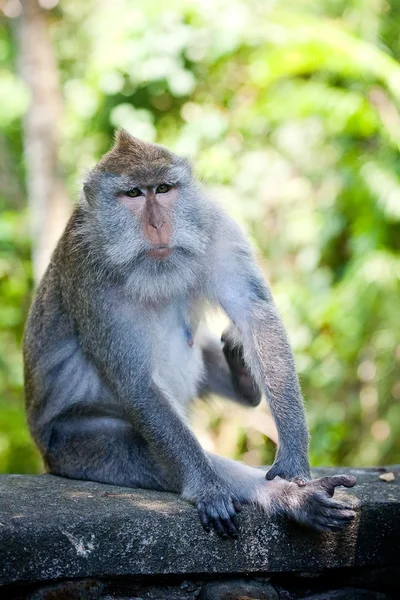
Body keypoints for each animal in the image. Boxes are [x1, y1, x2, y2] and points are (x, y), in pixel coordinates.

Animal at [22, 129, 356, 536]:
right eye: (133, 194)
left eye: (163, 189)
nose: (158, 225)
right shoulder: (88, 272)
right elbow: (135, 380)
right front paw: (209, 487)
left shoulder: (215, 228)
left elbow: (256, 316)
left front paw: (293, 455)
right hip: (74, 446)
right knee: (144, 453)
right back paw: (292, 500)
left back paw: (242, 376)